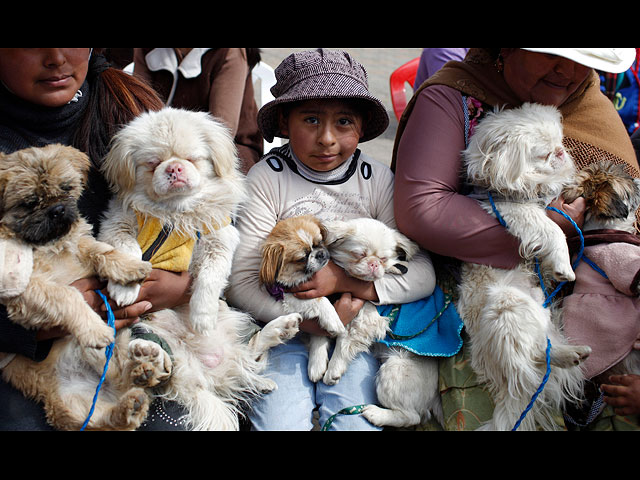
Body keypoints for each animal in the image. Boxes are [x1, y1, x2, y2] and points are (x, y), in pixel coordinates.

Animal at [0, 144, 154, 430]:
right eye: (30, 202)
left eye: (66, 188)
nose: (58, 210)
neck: (49, 244)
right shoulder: (26, 292)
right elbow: (67, 294)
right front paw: (94, 328)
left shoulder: (79, 244)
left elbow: (100, 250)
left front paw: (127, 266)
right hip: (71, 401)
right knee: (107, 419)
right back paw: (130, 402)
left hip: (119, 348)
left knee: (122, 376)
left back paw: (142, 374)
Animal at [458, 102, 592, 432]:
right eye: (544, 154)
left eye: (559, 142)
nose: (561, 152)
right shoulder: (518, 213)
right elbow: (553, 230)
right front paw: (563, 266)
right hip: (507, 307)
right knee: (533, 356)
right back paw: (570, 356)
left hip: (540, 315)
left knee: (542, 353)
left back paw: (572, 354)